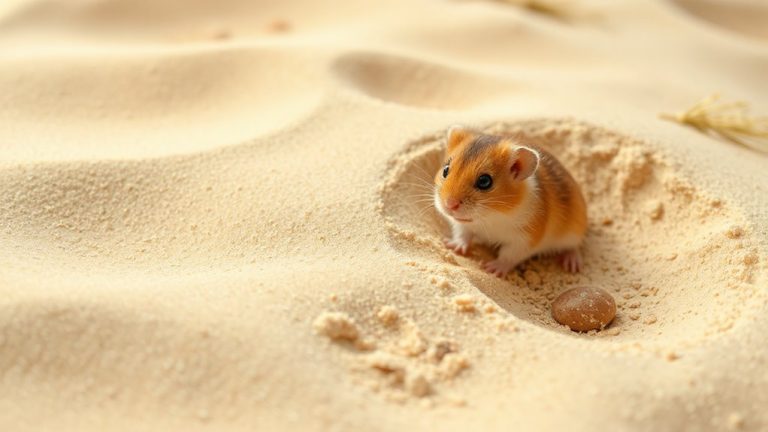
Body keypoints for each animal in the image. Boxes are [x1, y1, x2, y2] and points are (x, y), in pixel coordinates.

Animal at [433, 126, 587, 277]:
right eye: (445, 170)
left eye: (484, 181)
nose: (449, 205)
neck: (492, 217)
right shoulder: (462, 225)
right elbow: (463, 235)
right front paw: (452, 246)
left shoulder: (524, 240)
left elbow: (507, 255)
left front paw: (491, 269)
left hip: (573, 232)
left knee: (574, 246)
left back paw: (572, 264)